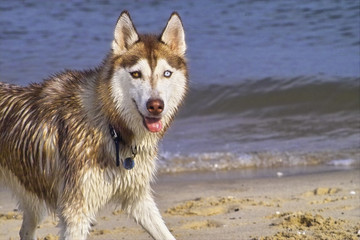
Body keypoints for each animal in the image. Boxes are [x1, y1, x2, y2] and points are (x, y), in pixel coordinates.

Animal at [0, 11, 188, 240]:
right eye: (136, 74)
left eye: (167, 73)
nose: (155, 106)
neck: (110, 124)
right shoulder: (76, 211)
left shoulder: (137, 198)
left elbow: (166, 234)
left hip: (33, 199)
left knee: (26, 230)